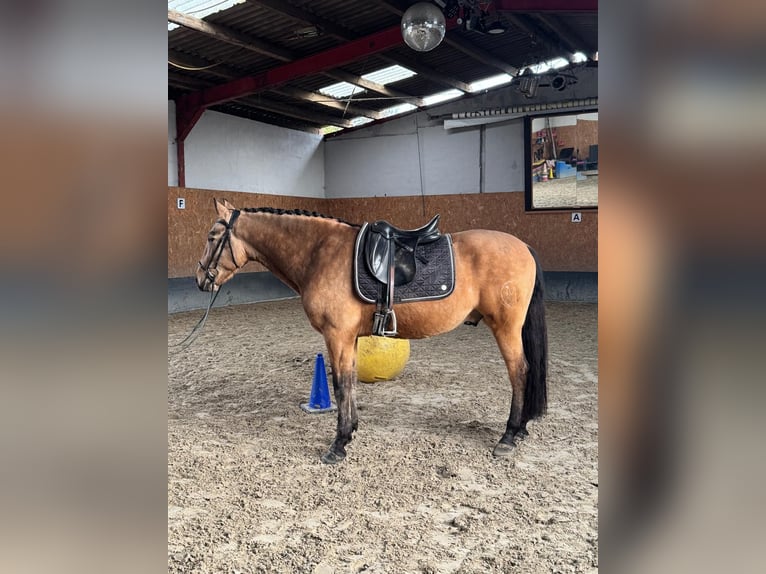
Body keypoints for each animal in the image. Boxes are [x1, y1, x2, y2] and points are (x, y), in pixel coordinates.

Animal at [196, 198, 548, 464]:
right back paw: (519, 430)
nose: (200, 280)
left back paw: (509, 435)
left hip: (505, 328)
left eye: (213, 236)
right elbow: (350, 382)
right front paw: (350, 432)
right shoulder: (348, 338)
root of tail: (524, 247)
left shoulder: (336, 335)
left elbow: (340, 385)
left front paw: (338, 445)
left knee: (519, 372)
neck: (319, 252)